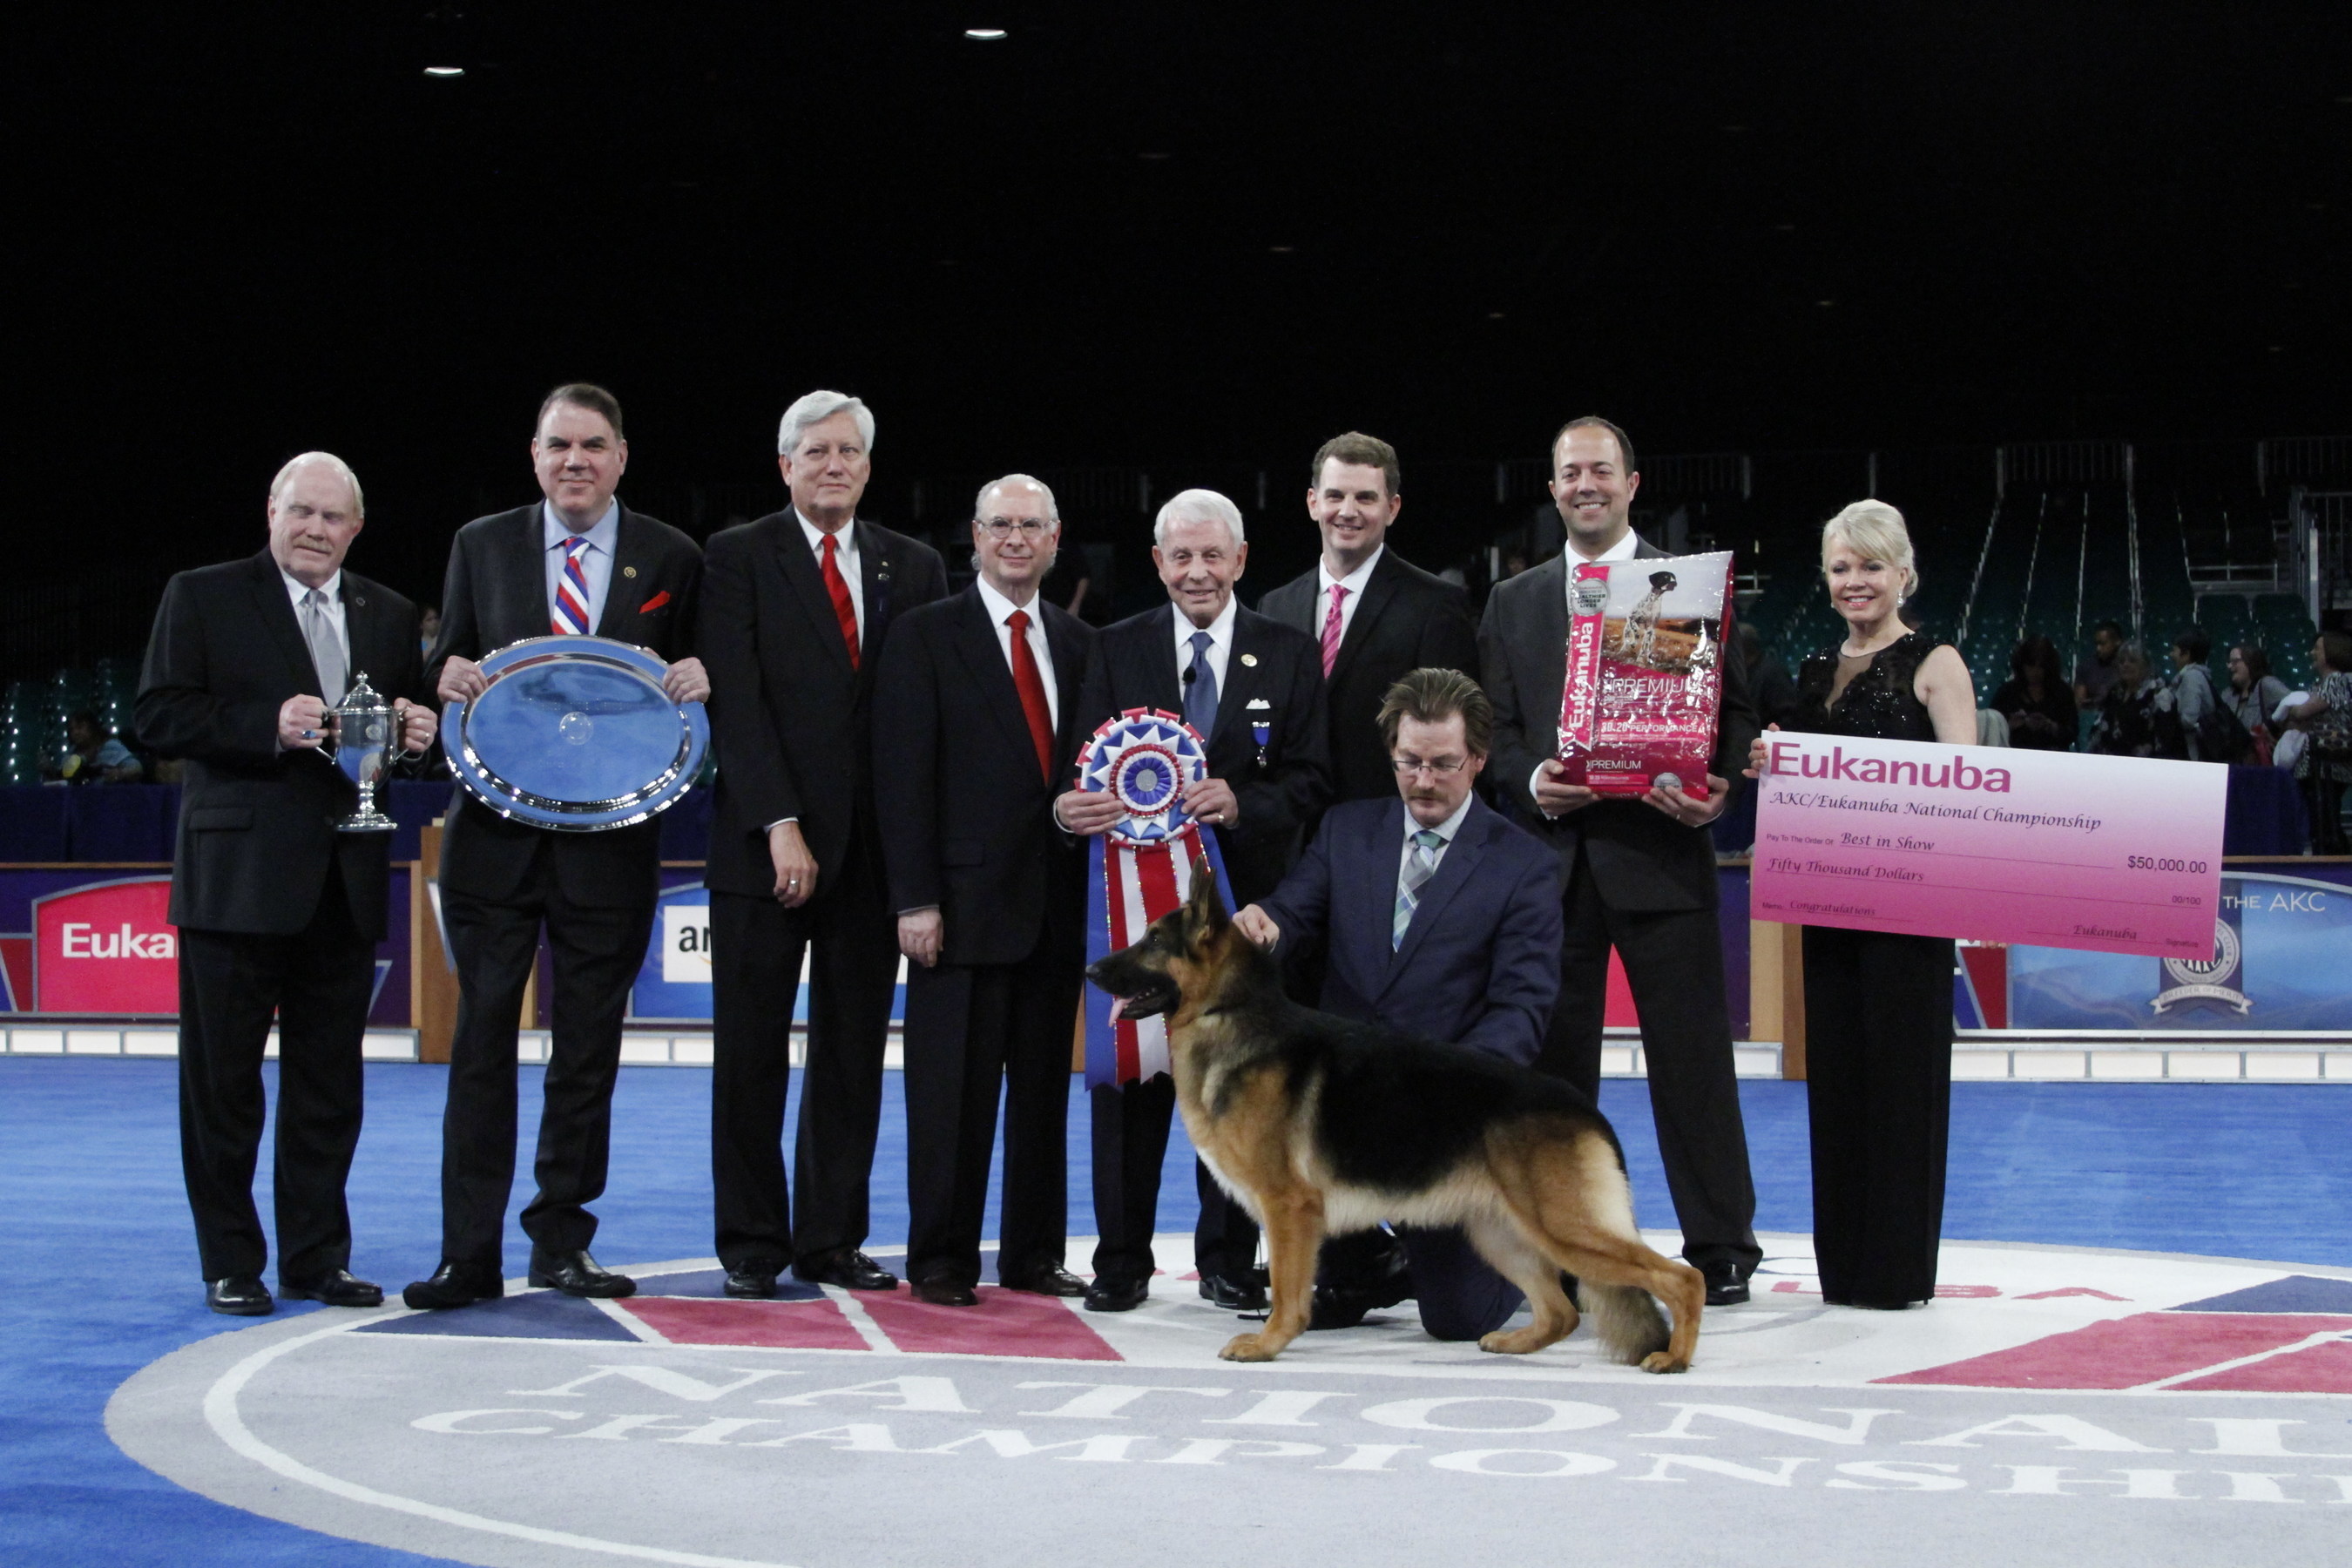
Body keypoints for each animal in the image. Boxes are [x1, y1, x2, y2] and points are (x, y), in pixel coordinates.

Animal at [1091, 869, 1702, 1373]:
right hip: (1501, 1233)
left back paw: (1674, 1357)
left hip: (1564, 1228)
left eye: (1152, 941)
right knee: (1560, 1313)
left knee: (1680, 1278)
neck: (1229, 1012)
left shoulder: (1290, 1210)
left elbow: (1287, 1291)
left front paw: (1268, 1345)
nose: (1092, 969)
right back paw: (1513, 1342)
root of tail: (1587, 1110)